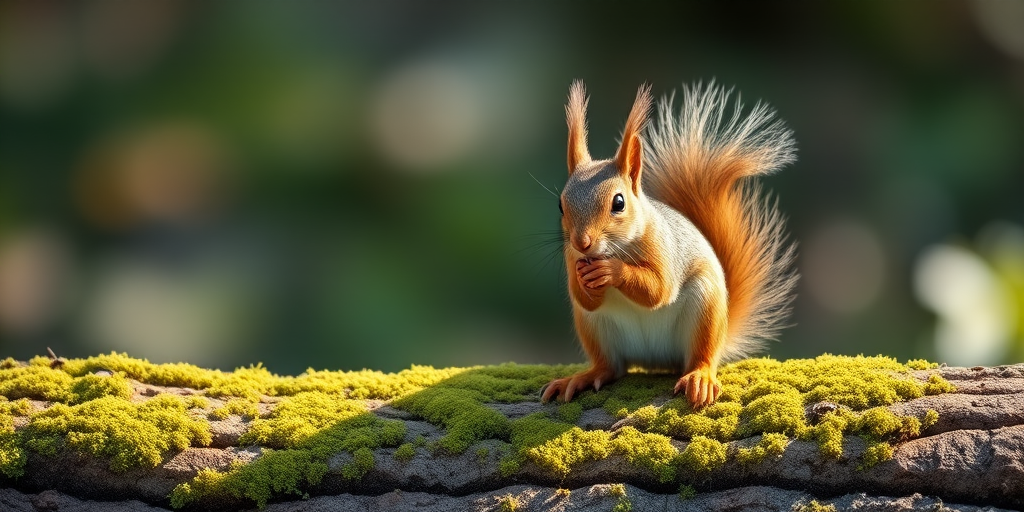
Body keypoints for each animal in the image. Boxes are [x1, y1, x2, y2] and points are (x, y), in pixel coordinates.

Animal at [541, 81, 798, 408]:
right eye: (561, 205)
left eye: (619, 203)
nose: (582, 242)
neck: (617, 247)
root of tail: (655, 359)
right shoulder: (570, 256)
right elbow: (586, 297)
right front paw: (585, 277)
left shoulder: (664, 248)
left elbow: (659, 289)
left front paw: (612, 270)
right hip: (592, 326)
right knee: (609, 367)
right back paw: (582, 377)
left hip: (705, 308)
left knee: (701, 356)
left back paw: (700, 378)